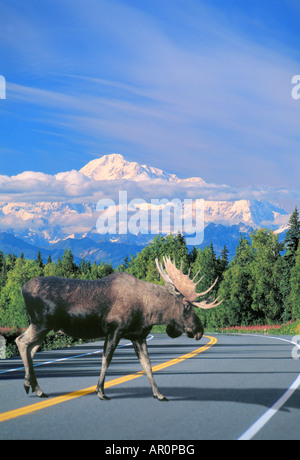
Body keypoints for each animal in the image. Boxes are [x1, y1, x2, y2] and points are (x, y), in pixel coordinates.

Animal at [16, 256, 221, 400]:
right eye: (186, 306)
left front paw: (159, 393)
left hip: (44, 327)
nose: (199, 330)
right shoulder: (114, 329)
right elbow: (106, 360)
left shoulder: (138, 336)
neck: (149, 310)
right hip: (41, 323)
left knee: (31, 348)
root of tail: (22, 289)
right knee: (21, 342)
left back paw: (33, 386)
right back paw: (33, 386)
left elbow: (147, 365)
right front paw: (100, 391)